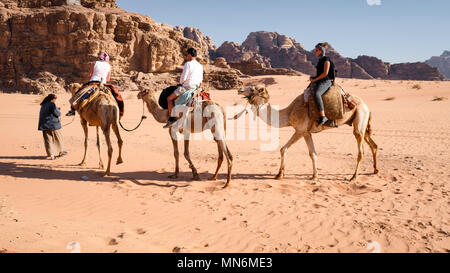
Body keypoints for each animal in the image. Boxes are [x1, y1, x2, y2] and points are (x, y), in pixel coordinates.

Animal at [237, 85, 378, 182]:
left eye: (252, 89)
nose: (239, 89)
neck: (288, 113)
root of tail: (366, 106)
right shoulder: (306, 133)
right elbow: (312, 153)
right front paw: (314, 176)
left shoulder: (300, 130)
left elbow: (284, 149)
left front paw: (279, 174)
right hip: (360, 122)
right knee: (373, 145)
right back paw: (375, 170)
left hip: (359, 118)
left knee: (361, 149)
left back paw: (353, 177)